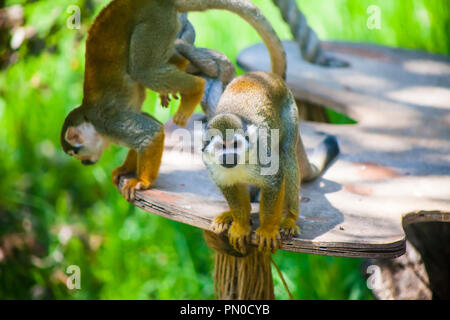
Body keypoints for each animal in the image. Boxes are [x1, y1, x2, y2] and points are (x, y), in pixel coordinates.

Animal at [202, 71, 340, 254]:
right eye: (221, 147)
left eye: (235, 145)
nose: (229, 156)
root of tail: (264, 74)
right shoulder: (211, 164)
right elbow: (228, 187)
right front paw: (241, 224)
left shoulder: (260, 152)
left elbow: (275, 179)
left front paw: (267, 229)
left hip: (289, 110)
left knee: (287, 154)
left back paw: (289, 218)